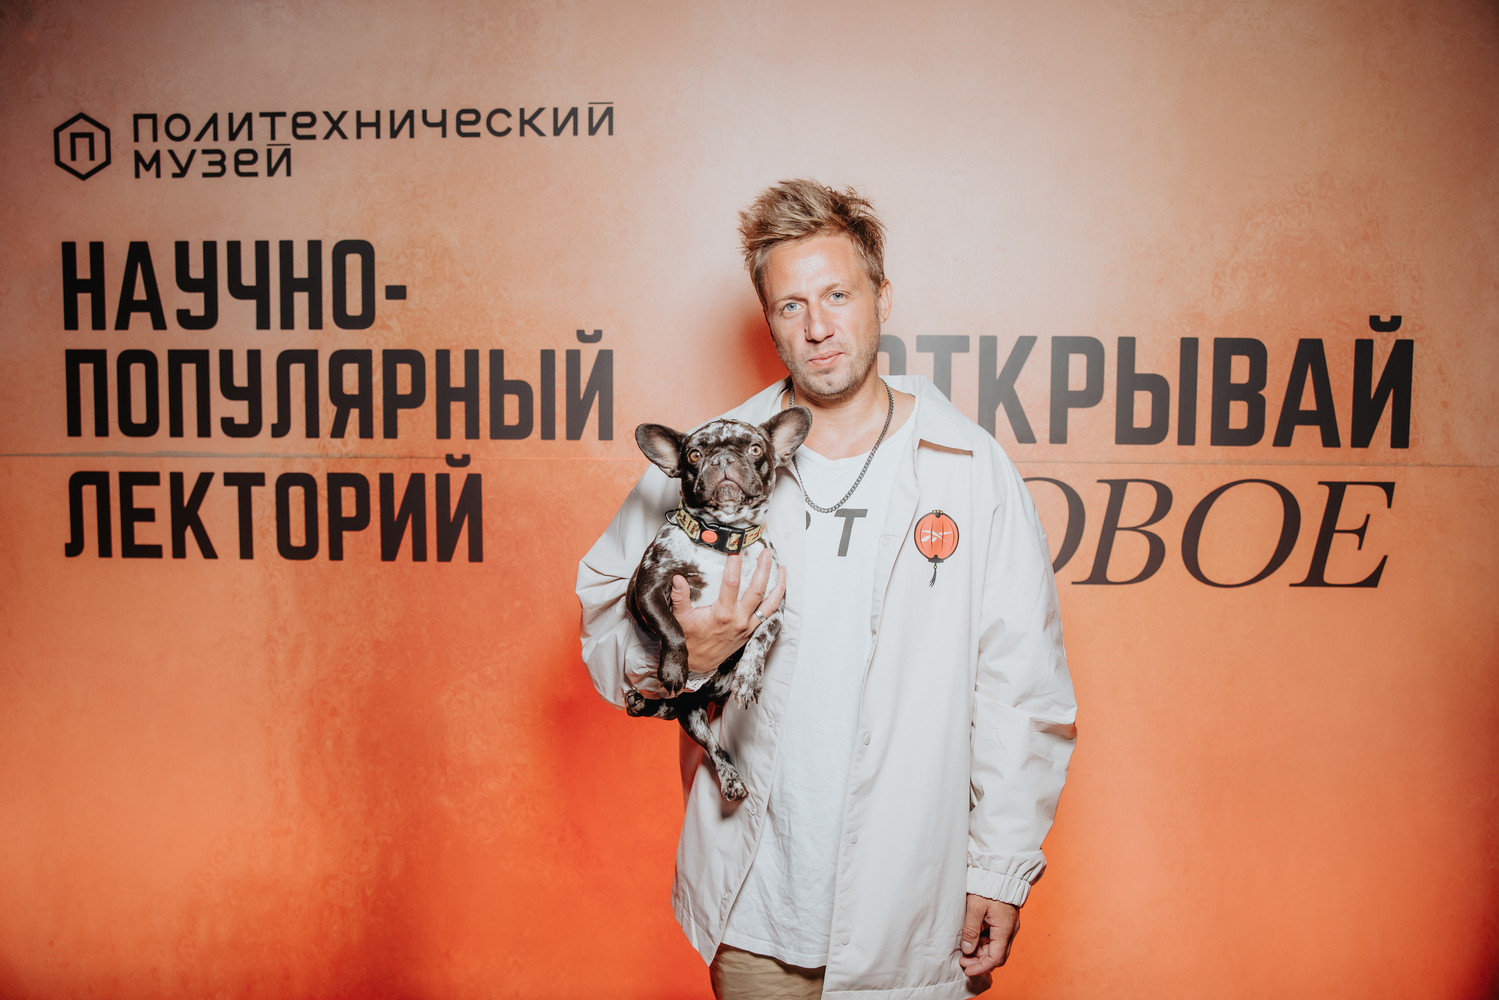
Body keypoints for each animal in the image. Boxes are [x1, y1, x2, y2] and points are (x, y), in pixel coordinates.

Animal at [624, 405, 811, 801]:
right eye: (694, 455)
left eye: (755, 449)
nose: (723, 459)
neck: (723, 539)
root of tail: (705, 698)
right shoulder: (648, 586)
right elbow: (671, 627)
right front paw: (674, 669)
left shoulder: (773, 608)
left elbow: (761, 639)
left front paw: (749, 679)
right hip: (691, 714)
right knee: (710, 744)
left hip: (693, 711)